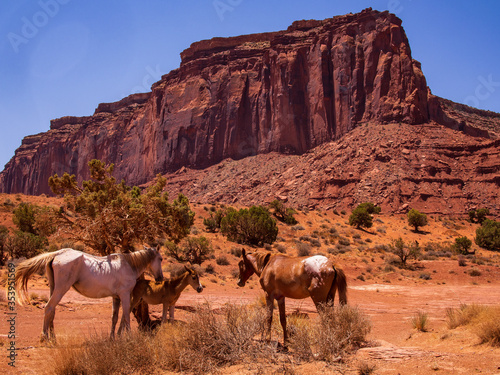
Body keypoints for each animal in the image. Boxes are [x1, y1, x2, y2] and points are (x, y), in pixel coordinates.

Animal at [15, 248, 164, 342]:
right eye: (161, 259)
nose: (160, 278)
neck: (129, 265)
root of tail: (58, 253)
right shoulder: (125, 295)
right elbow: (126, 317)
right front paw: (129, 337)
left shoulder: (116, 297)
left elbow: (115, 318)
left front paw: (113, 338)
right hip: (61, 289)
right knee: (48, 308)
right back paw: (45, 337)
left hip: (54, 288)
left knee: (52, 310)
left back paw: (53, 337)